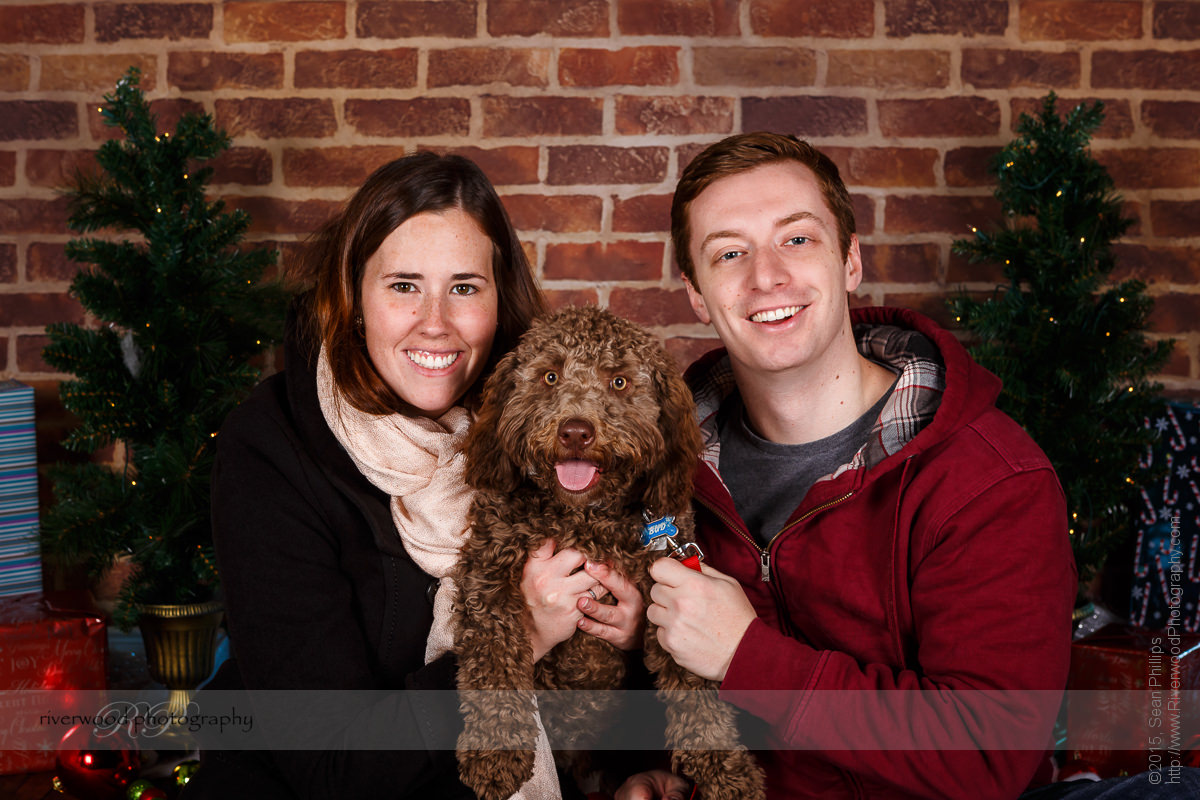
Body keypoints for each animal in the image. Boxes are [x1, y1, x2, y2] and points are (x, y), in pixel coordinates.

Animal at [451, 304, 758, 800]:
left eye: (618, 381)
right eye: (550, 376)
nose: (576, 432)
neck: (583, 519)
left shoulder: (672, 591)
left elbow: (695, 688)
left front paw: (728, 772)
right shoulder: (488, 579)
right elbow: (493, 663)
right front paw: (494, 755)